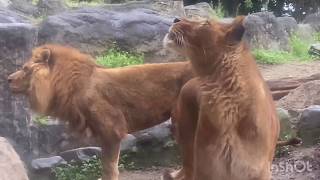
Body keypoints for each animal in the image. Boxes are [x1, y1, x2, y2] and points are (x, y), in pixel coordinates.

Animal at [6, 44, 192, 180]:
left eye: (25, 69)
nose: (8, 79)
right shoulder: (103, 133)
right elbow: (105, 164)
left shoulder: (112, 130)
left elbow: (109, 167)